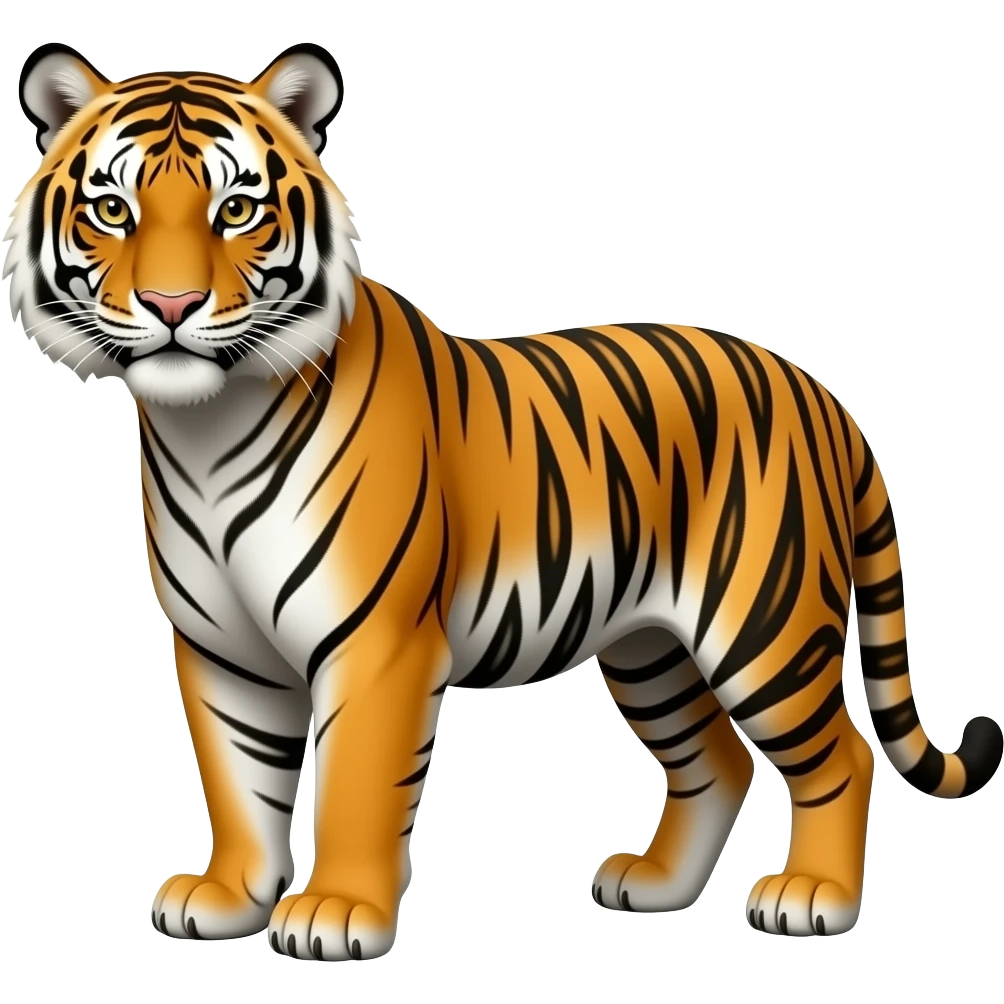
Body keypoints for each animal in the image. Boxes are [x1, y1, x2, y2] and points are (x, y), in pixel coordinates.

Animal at [4, 40, 1001, 961]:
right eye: (112, 210)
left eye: (237, 209)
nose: (172, 304)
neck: (204, 429)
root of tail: (817, 391)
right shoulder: (222, 649)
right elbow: (238, 781)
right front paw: (227, 898)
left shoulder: (378, 644)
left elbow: (356, 783)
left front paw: (336, 912)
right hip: (649, 646)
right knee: (714, 758)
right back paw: (655, 885)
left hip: (764, 623)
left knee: (843, 753)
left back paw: (814, 898)